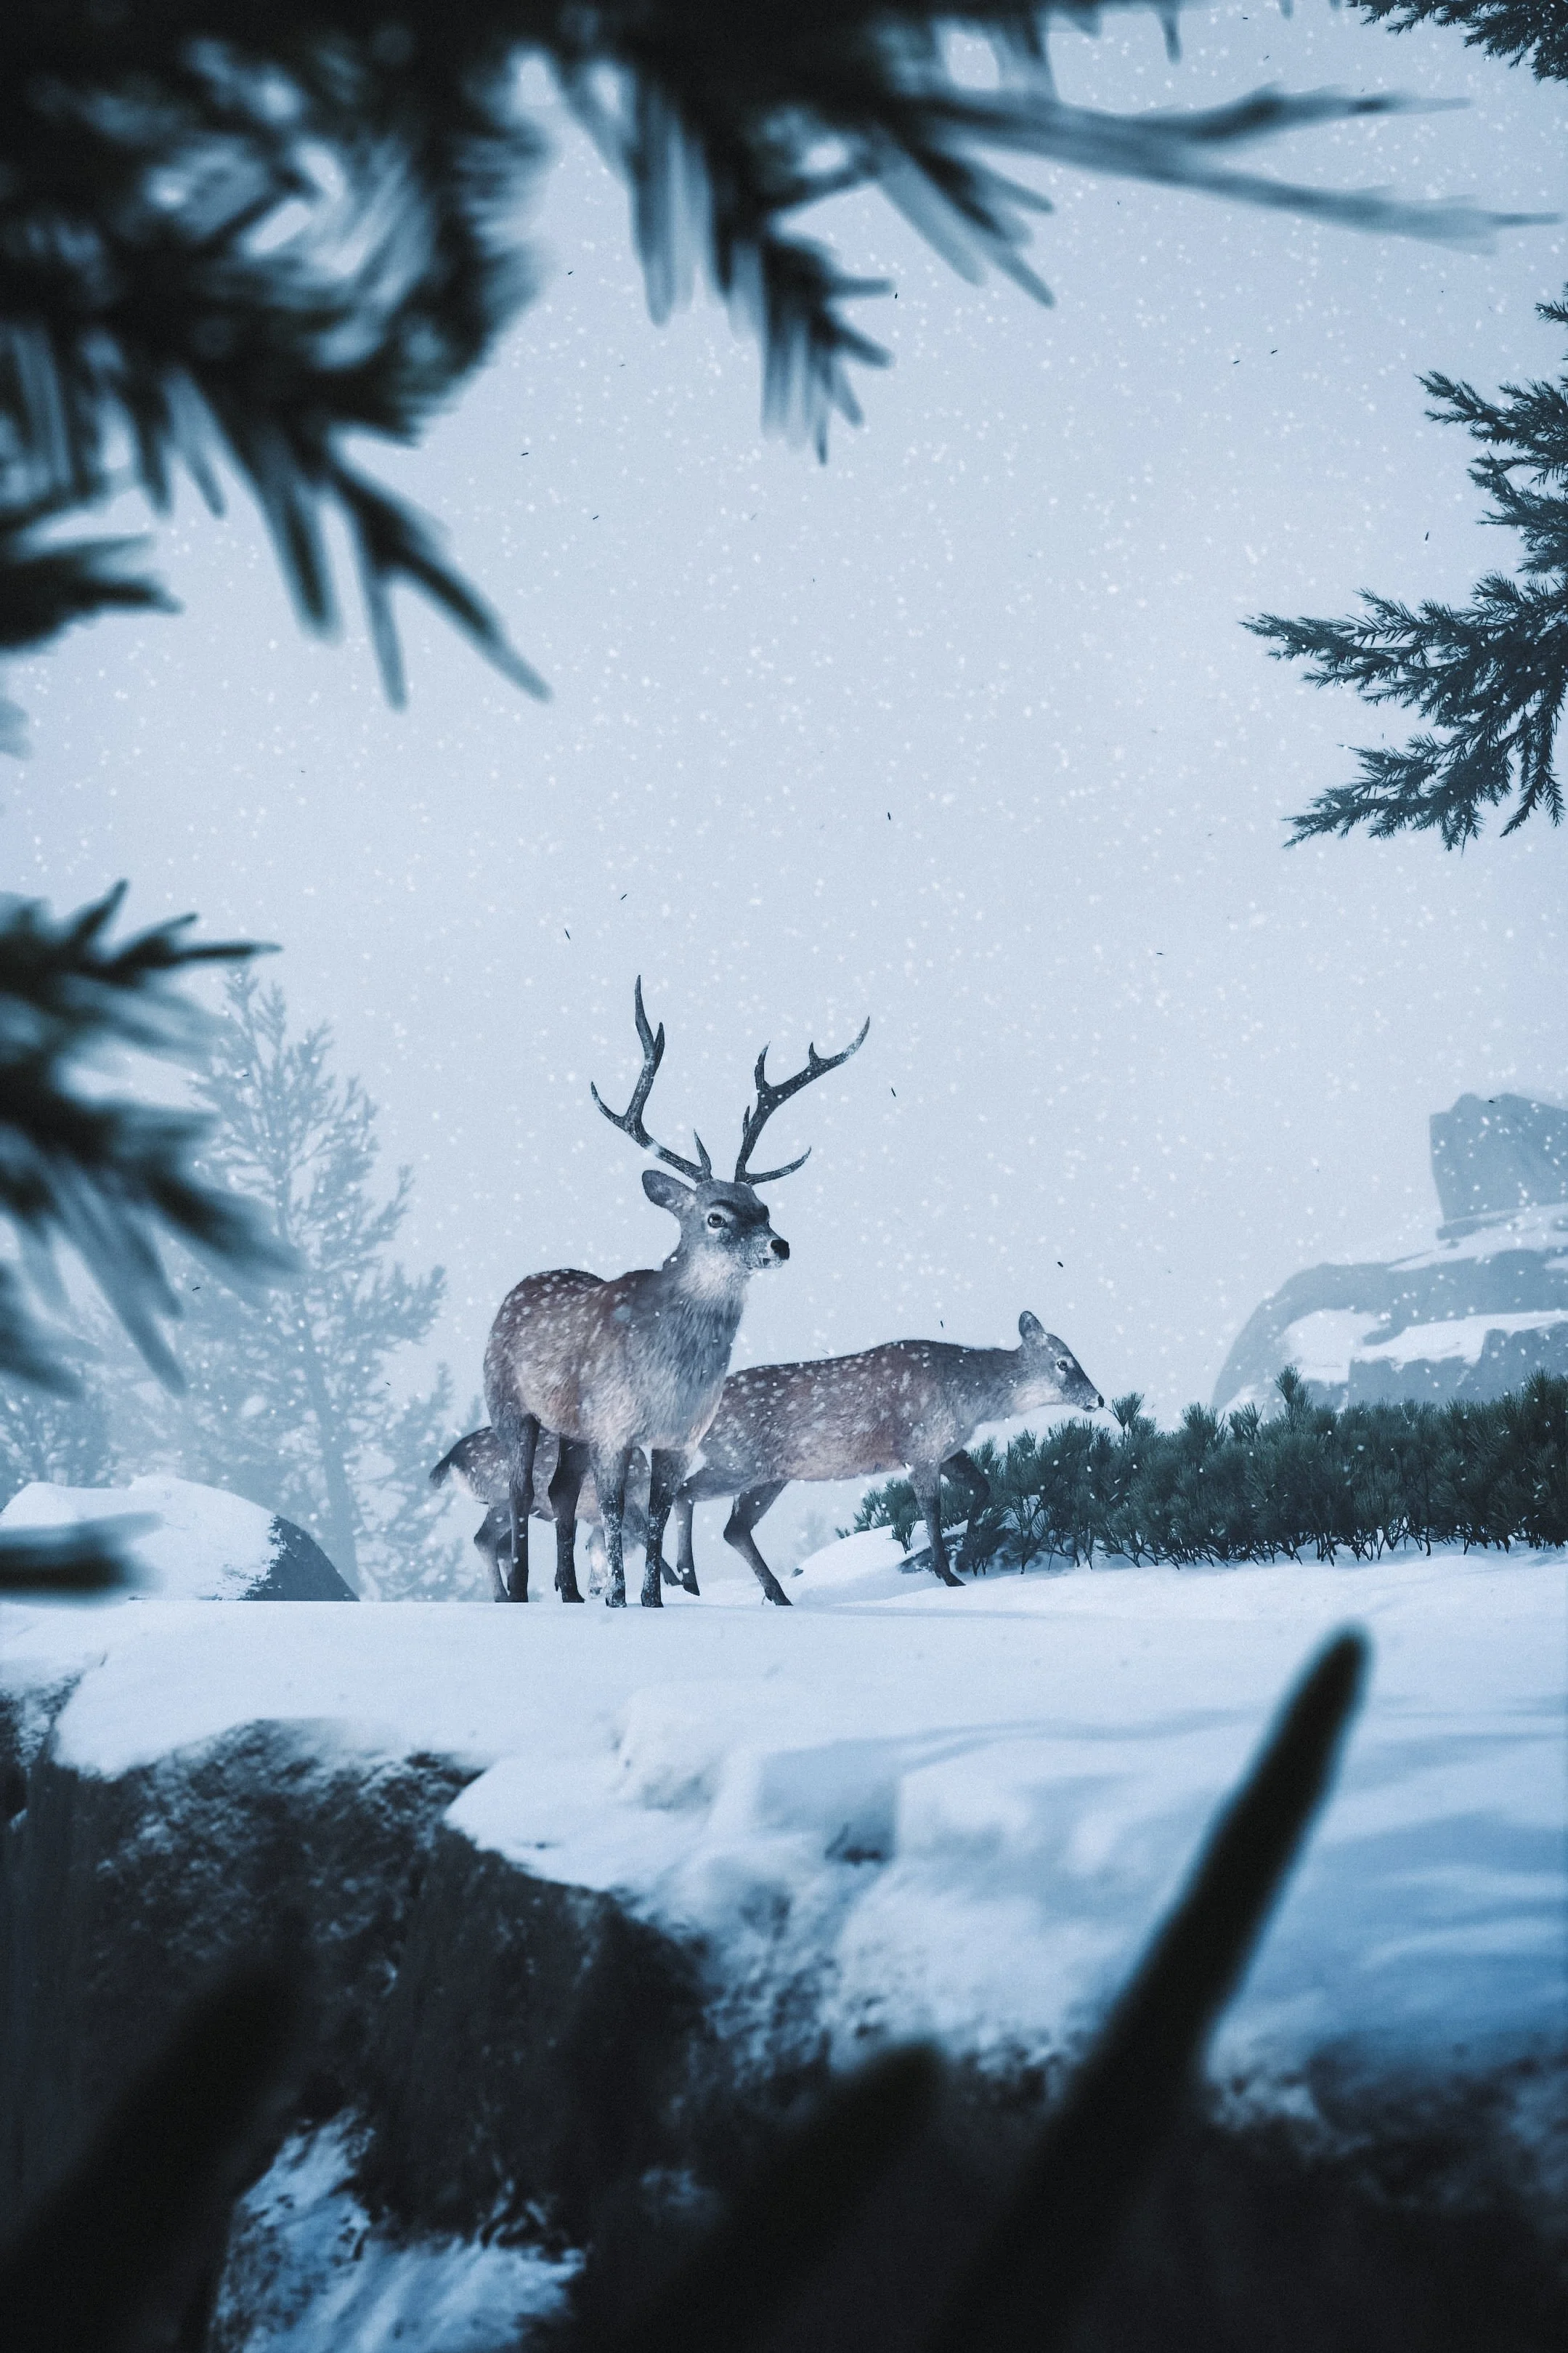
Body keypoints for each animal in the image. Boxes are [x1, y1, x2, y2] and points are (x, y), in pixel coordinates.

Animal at [483, 980, 868, 1607]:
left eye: (763, 1207)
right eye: (715, 1216)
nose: (779, 1245)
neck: (671, 1376)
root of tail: (519, 1287)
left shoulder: (680, 1437)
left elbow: (660, 1512)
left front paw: (651, 1599)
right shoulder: (613, 1425)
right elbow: (615, 1509)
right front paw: (617, 1595)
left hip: (570, 1426)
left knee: (560, 1490)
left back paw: (569, 1591)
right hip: (508, 1401)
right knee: (521, 1491)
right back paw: (520, 1591)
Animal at [664, 1315, 1105, 1605]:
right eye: (1064, 1363)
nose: (1098, 1399)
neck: (970, 1399)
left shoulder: (946, 1450)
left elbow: (983, 1487)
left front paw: (968, 1545)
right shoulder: (921, 1447)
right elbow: (932, 1510)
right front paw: (948, 1574)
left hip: (768, 1476)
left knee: (733, 1528)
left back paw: (772, 1593)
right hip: (739, 1461)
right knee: (684, 1492)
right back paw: (686, 1577)